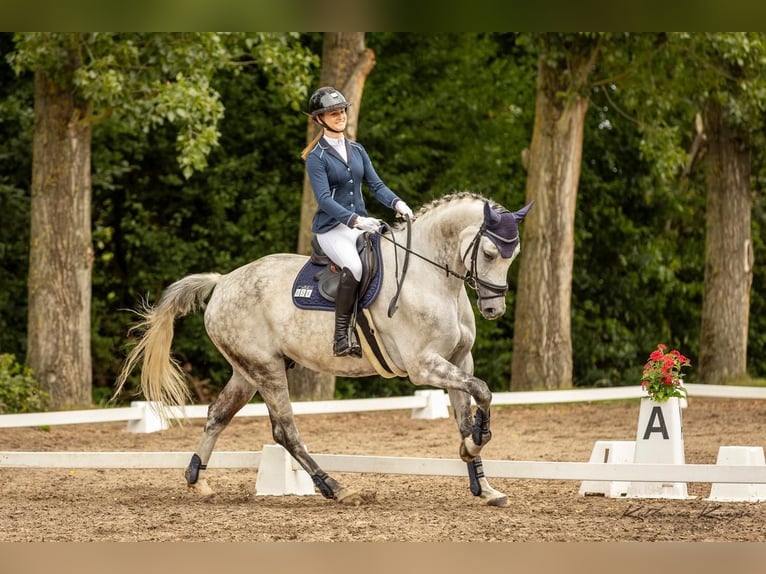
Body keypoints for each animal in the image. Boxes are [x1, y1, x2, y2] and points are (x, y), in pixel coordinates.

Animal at [115, 192, 536, 508]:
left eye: (513, 255)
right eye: (489, 253)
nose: (494, 310)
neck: (430, 277)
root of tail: (223, 282)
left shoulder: (457, 359)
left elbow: (468, 410)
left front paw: (483, 483)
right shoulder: (424, 365)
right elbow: (483, 391)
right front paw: (474, 444)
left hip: (247, 371)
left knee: (218, 415)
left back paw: (197, 480)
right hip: (266, 369)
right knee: (285, 431)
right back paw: (335, 487)